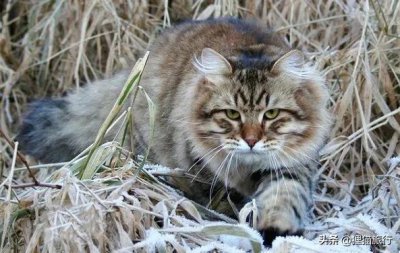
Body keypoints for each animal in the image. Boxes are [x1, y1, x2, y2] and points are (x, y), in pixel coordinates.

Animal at [17, 18, 332, 247]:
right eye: (232, 115)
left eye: (271, 115)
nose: (251, 140)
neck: (247, 169)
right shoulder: (202, 170)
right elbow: (219, 199)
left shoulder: (290, 167)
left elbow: (283, 198)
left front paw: (275, 232)